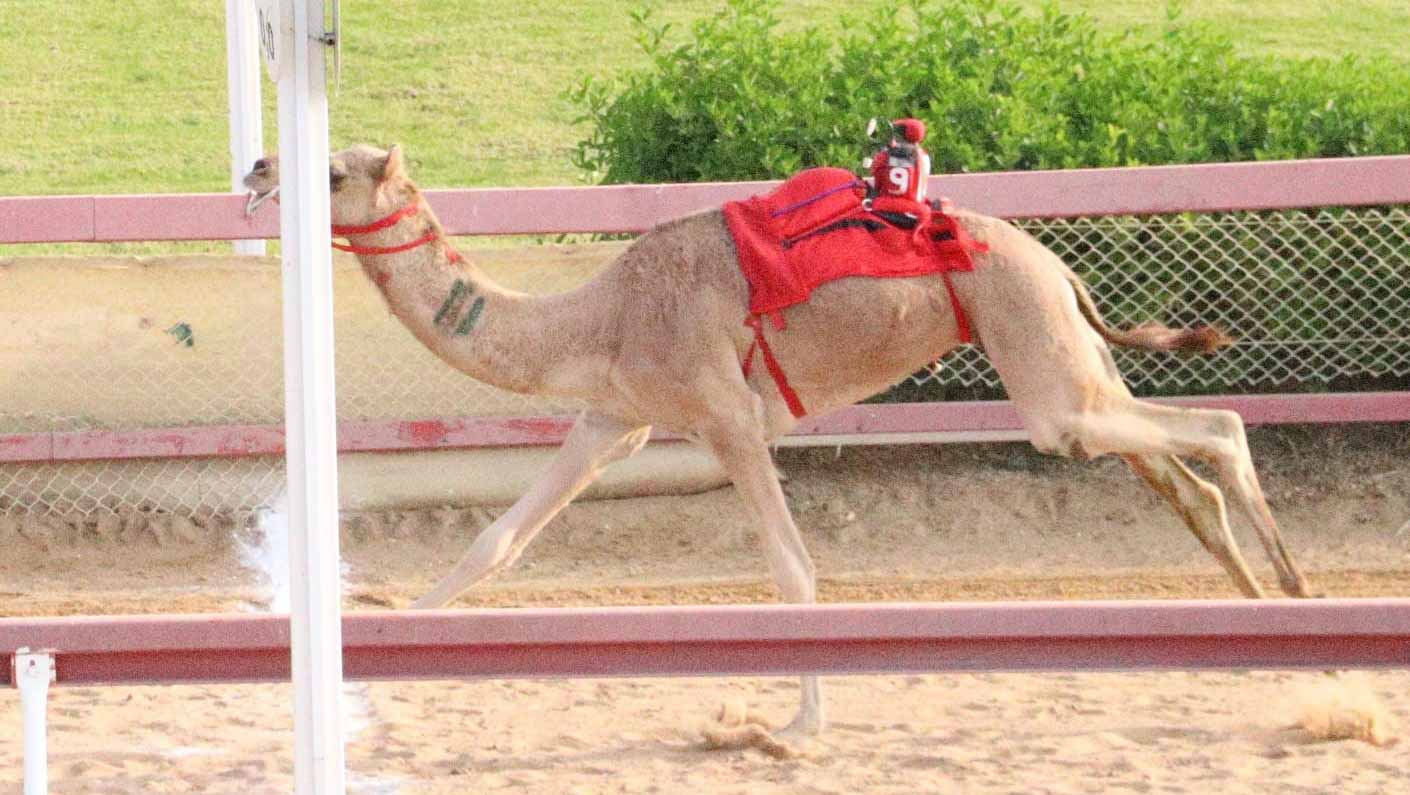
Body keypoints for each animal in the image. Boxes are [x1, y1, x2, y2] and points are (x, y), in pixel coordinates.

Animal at [243, 144, 1313, 742]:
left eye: (331, 169)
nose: (255, 167)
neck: (599, 318)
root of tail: (1059, 265)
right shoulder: (613, 418)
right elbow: (492, 542)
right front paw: (382, 648)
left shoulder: (726, 415)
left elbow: (794, 569)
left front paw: (800, 719)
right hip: (1064, 360)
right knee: (1182, 474)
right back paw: (1266, 624)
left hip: (1045, 367)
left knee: (1218, 427)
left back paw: (1299, 597)